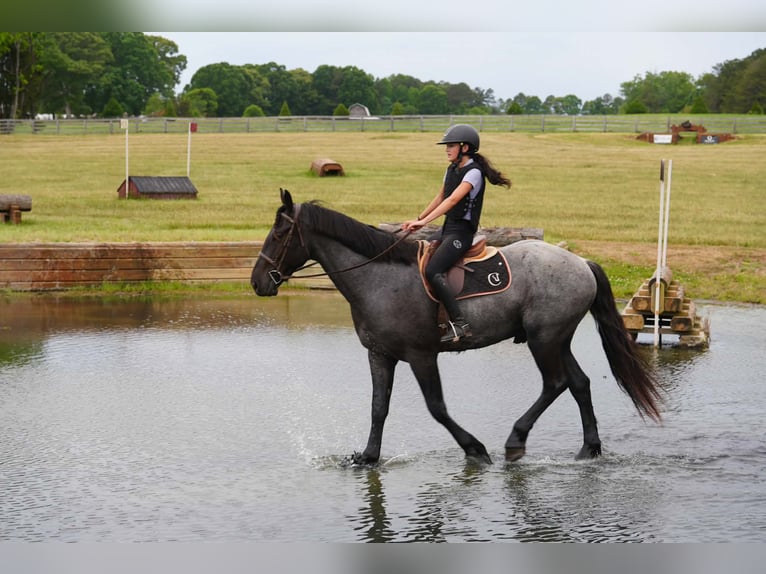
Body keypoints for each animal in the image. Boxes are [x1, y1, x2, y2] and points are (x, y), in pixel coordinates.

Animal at [251, 189, 662, 465]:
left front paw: (474, 449)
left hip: (543, 339)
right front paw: (367, 457)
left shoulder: (421, 356)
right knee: (578, 384)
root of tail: (580, 263)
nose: (257, 282)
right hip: (557, 339)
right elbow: (378, 407)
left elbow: (437, 408)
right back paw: (589, 449)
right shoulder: (380, 355)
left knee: (556, 383)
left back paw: (516, 441)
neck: (378, 278)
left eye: (278, 234)